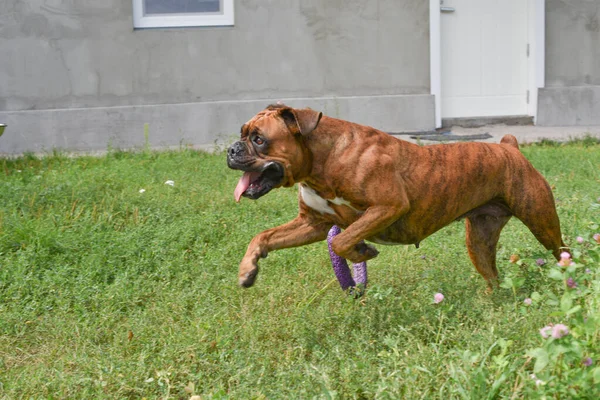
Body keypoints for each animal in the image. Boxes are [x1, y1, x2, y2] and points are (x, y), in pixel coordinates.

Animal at [226, 103, 568, 290]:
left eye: (258, 139)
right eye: (242, 134)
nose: (231, 149)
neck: (322, 161)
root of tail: (509, 147)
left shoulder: (388, 207)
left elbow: (342, 240)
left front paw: (362, 252)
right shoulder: (313, 223)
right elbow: (263, 237)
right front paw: (247, 270)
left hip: (543, 223)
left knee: (562, 251)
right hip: (479, 241)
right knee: (492, 276)